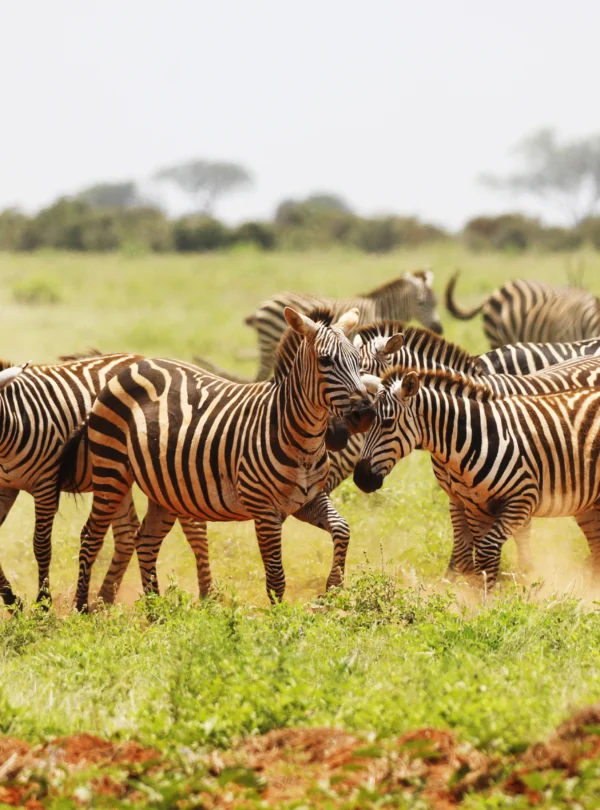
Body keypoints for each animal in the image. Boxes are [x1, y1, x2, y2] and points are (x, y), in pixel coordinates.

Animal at [58, 307, 375, 611]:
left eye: (357, 360)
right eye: (325, 361)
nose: (365, 414)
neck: (299, 438)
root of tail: (132, 365)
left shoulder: (307, 500)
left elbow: (342, 529)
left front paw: (333, 588)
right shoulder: (265, 510)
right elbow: (276, 577)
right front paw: (279, 620)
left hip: (164, 489)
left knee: (145, 540)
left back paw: (156, 612)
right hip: (111, 470)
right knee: (91, 535)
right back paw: (82, 608)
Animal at [244, 269, 442, 381]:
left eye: (436, 303)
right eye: (420, 303)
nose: (439, 329)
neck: (379, 310)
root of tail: (266, 302)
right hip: (269, 344)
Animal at [353, 322, 600, 575]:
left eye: (362, 370)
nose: (361, 478)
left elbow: (517, 534)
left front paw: (524, 573)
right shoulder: (458, 495)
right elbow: (463, 549)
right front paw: (455, 578)